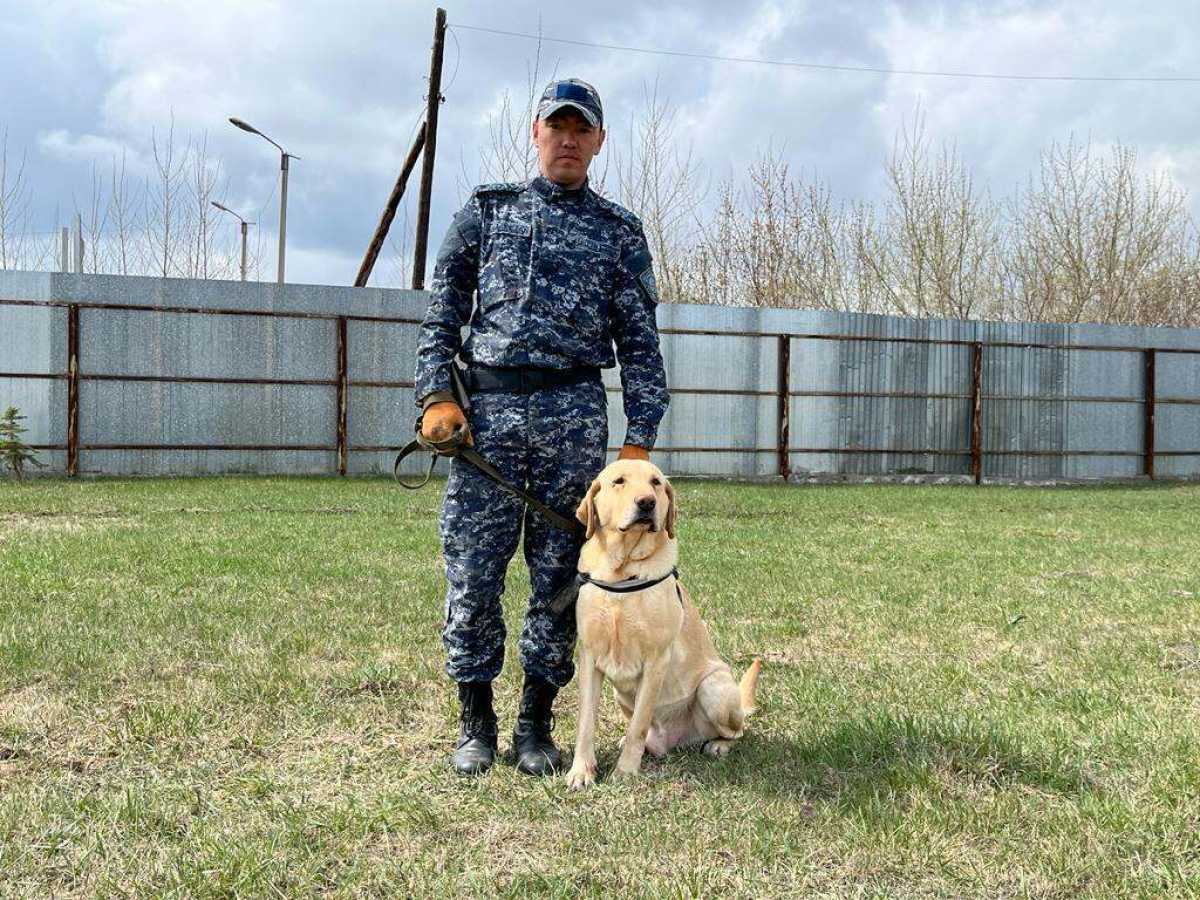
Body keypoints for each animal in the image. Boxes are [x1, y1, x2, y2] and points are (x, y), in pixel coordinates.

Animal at [564, 458, 758, 787]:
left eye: (655, 482)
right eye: (619, 481)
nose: (646, 503)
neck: (622, 572)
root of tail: (674, 741)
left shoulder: (656, 660)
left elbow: (638, 726)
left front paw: (625, 772)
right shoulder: (589, 657)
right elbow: (586, 723)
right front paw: (581, 770)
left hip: (714, 688)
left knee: (738, 730)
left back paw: (718, 744)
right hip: (620, 693)